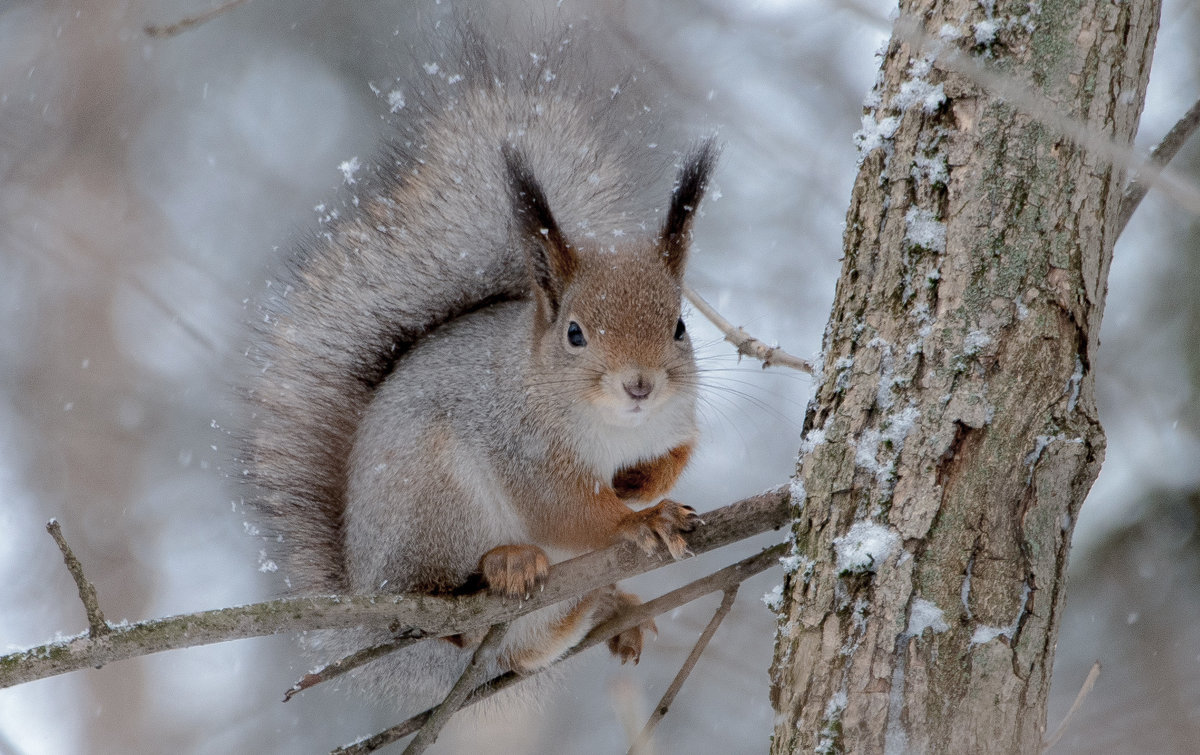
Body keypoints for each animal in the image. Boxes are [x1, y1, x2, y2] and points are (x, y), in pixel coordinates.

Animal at [238, 26, 715, 715]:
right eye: (574, 333)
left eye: (679, 327)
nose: (640, 385)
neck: (613, 425)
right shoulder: (523, 444)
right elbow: (566, 511)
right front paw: (637, 519)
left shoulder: (675, 420)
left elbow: (679, 452)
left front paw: (642, 486)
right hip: (434, 500)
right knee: (450, 611)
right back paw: (502, 568)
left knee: (526, 652)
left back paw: (607, 605)